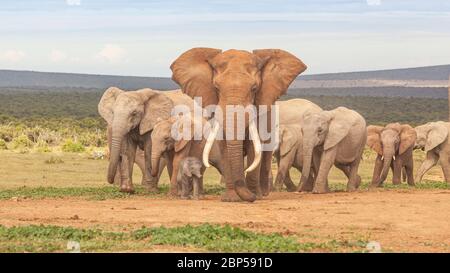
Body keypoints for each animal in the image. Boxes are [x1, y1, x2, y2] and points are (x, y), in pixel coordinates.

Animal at [171, 46, 308, 201]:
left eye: (254, 88)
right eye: (216, 88)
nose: (251, 197)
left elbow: (254, 147)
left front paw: (254, 196)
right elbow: (224, 146)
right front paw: (231, 199)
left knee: (266, 152)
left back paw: (263, 193)